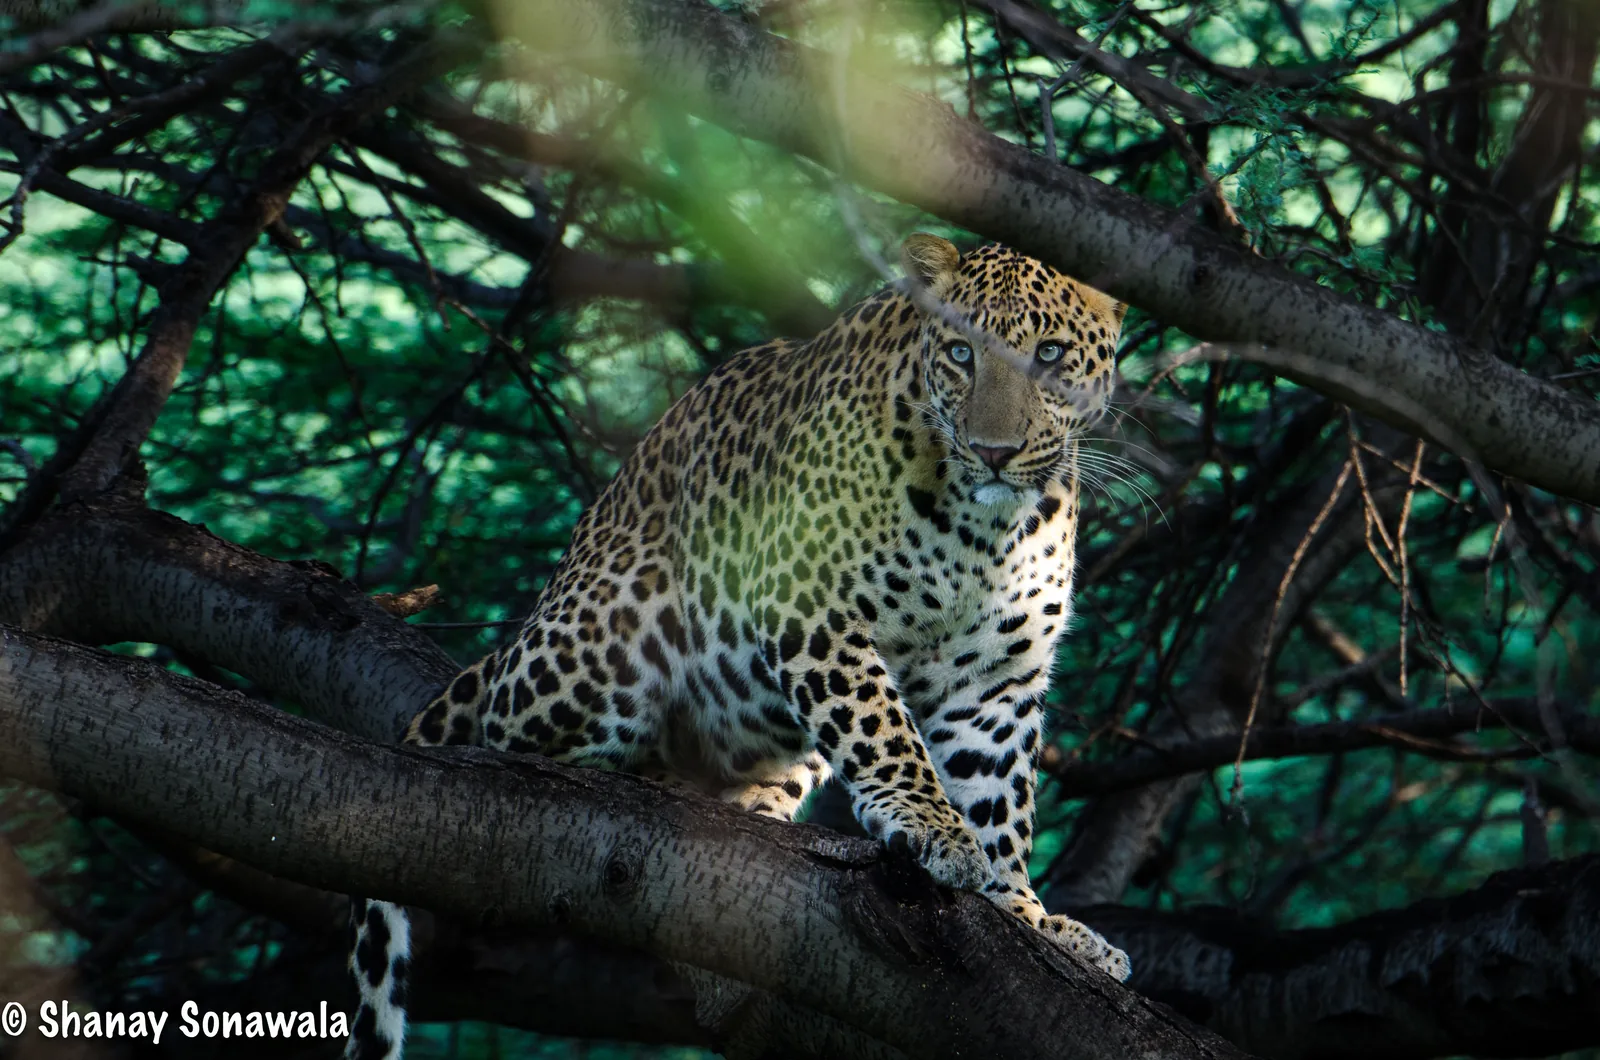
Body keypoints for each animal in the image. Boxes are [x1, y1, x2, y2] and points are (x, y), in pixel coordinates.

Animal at [346, 234, 1131, 1060]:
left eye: (1049, 354)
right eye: (959, 352)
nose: (994, 452)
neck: (986, 532)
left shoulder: (995, 683)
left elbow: (1000, 802)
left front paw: (1027, 914)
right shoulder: (807, 598)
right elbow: (882, 726)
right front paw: (928, 821)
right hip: (610, 634)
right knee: (512, 735)